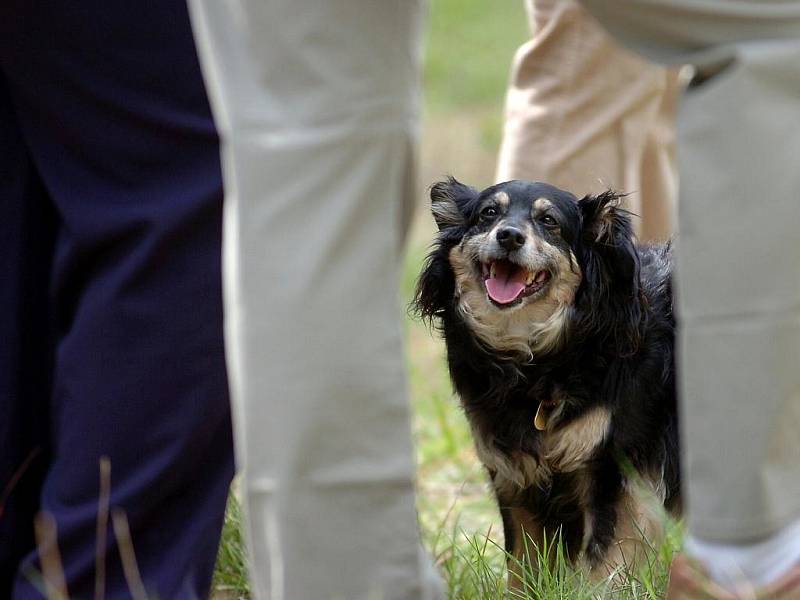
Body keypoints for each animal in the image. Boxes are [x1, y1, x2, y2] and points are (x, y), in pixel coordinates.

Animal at [412, 177, 680, 580]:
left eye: (549, 221)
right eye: (489, 213)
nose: (509, 236)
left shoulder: (617, 472)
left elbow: (604, 561)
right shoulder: (518, 477)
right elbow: (523, 564)